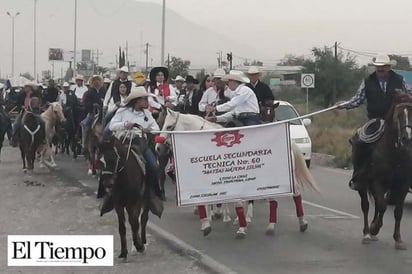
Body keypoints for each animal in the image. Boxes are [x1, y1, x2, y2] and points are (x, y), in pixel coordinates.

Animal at [154, 108, 318, 239]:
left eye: (169, 126)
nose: (158, 148)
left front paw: (240, 227)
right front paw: (208, 223)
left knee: (293, 195)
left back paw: (292, 223)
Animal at [356, 91, 412, 249]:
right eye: (399, 114)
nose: (407, 138)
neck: (395, 153)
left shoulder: (403, 185)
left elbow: (397, 211)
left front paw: (398, 239)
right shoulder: (376, 181)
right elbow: (382, 206)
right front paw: (374, 228)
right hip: (362, 185)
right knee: (366, 206)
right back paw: (367, 233)